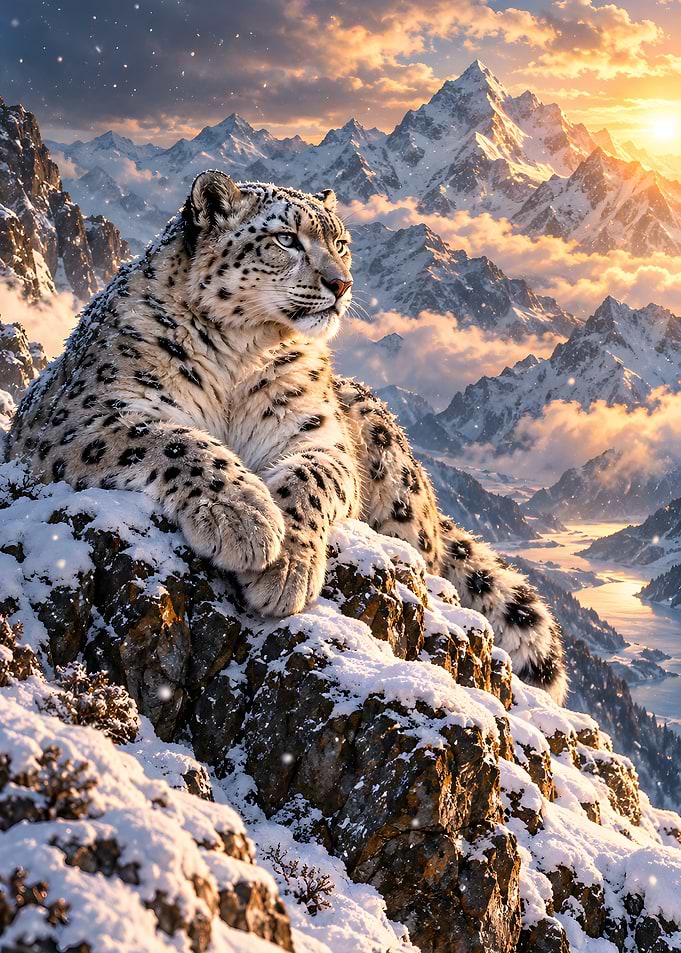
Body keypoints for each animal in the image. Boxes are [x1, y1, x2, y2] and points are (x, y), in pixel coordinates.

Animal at [6, 171, 567, 703]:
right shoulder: (89, 412)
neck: (241, 354)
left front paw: (284, 570)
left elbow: (313, 478)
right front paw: (245, 519)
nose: (342, 283)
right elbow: (175, 439)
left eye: (340, 242)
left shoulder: (317, 435)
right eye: (286, 239)